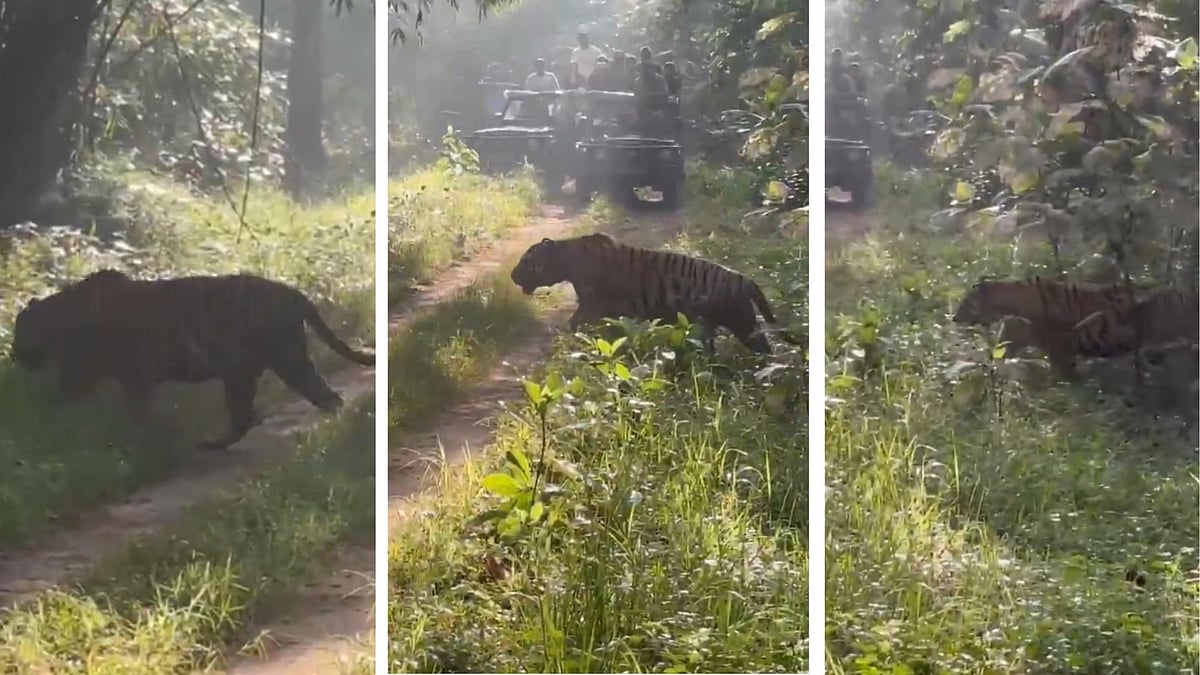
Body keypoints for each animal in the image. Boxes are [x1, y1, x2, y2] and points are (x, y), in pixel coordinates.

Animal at [11, 269, 375, 450]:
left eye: (17, 332)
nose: (13, 355)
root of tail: (293, 293)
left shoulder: (100, 374)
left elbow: (88, 404)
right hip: (268, 364)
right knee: (298, 399)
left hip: (270, 362)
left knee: (273, 406)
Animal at [509, 233, 801, 353]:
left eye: (526, 261)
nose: (512, 276)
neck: (566, 260)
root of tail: (745, 279)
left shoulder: (591, 305)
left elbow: (574, 324)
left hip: (740, 323)